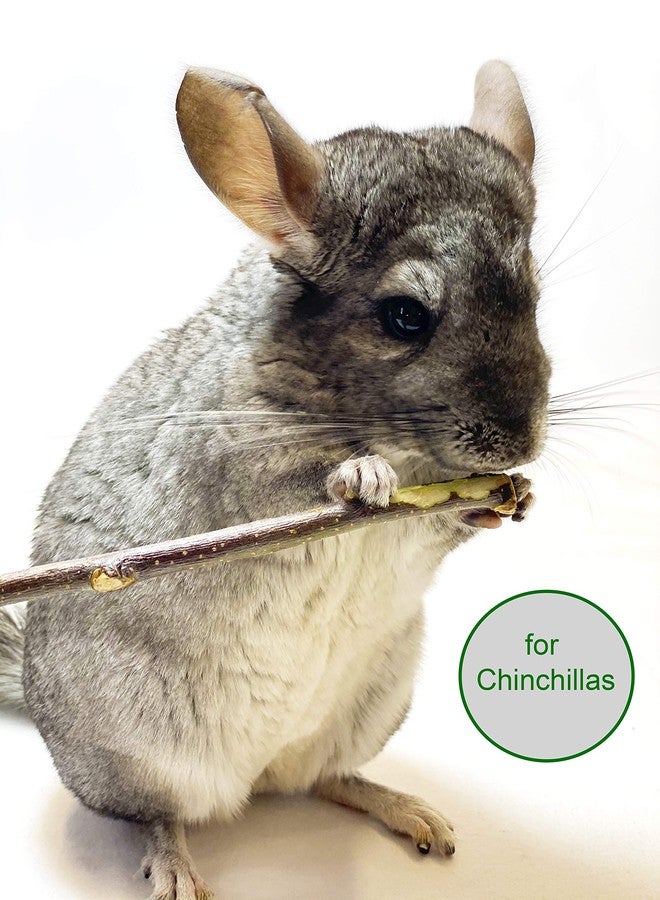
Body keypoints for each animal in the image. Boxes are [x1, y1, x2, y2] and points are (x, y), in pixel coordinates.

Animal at [0, 60, 549, 898]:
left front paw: (508, 497)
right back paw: (175, 866)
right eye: (404, 316)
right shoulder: (229, 463)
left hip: (371, 708)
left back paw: (406, 810)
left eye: (537, 297)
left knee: (324, 779)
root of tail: (255, 777)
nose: (523, 442)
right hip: (135, 756)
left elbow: (441, 525)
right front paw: (362, 475)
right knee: (157, 815)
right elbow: (287, 492)